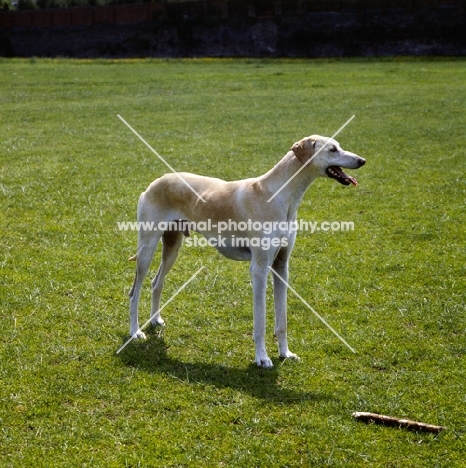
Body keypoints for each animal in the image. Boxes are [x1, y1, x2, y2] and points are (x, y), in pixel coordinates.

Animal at [127, 135, 364, 370]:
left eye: (339, 146)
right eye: (332, 149)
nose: (362, 160)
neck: (277, 195)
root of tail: (156, 182)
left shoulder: (281, 266)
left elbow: (282, 321)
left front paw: (285, 353)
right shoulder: (259, 269)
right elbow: (260, 323)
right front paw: (262, 358)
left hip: (172, 246)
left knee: (156, 283)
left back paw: (155, 320)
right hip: (147, 249)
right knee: (134, 291)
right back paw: (135, 331)